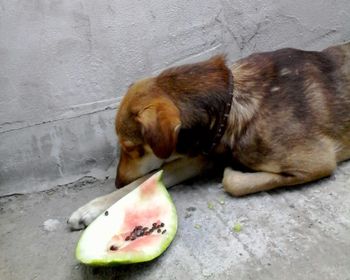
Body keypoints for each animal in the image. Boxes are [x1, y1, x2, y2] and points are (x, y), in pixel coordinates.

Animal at [67, 41, 348, 230]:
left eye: (129, 148)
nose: (116, 182)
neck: (231, 105)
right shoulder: (198, 157)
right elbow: (146, 179)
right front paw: (91, 208)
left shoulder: (317, 162)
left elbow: (232, 182)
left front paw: (232, 170)